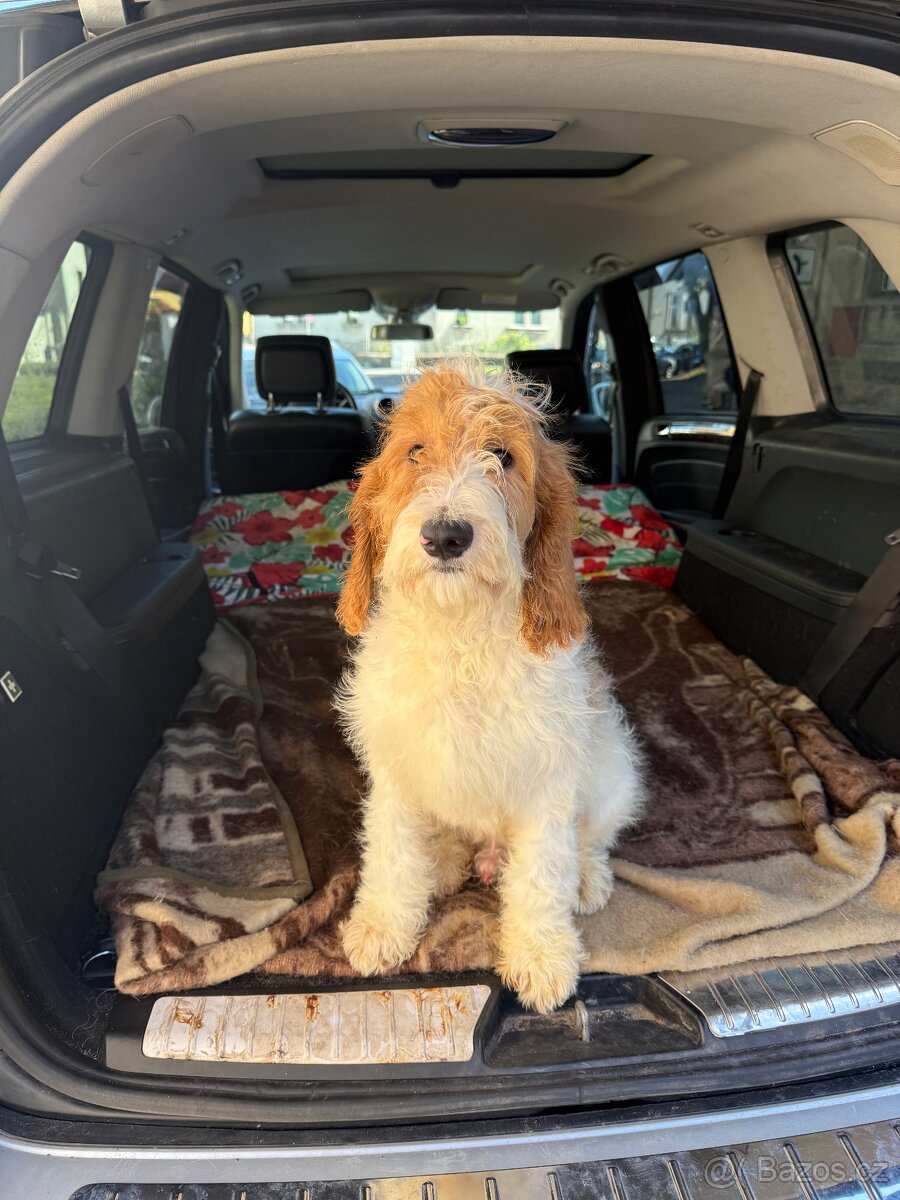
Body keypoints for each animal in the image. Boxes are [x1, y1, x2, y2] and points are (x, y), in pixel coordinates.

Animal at [336, 363, 643, 1012]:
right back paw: (446, 860)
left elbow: (541, 874)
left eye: (502, 455)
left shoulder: (547, 781)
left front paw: (541, 956)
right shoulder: (396, 768)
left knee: (590, 838)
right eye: (415, 452)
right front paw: (383, 927)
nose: (446, 536)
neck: (459, 631)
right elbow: (392, 852)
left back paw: (586, 877)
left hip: (614, 773)